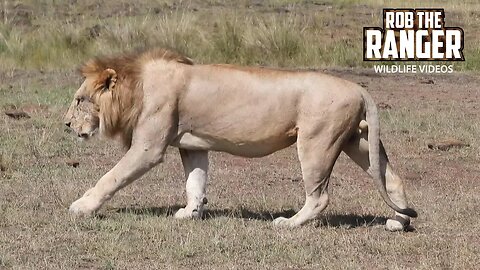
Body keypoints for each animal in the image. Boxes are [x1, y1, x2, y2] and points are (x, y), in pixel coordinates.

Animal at [63, 47, 416, 231]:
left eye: (79, 100)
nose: (65, 124)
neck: (136, 86)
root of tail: (359, 89)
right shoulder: (192, 145)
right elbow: (195, 183)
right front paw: (190, 213)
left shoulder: (149, 147)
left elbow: (111, 178)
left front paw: (81, 206)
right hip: (358, 142)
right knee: (393, 179)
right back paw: (399, 220)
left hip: (317, 143)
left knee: (319, 197)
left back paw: (288, 223)